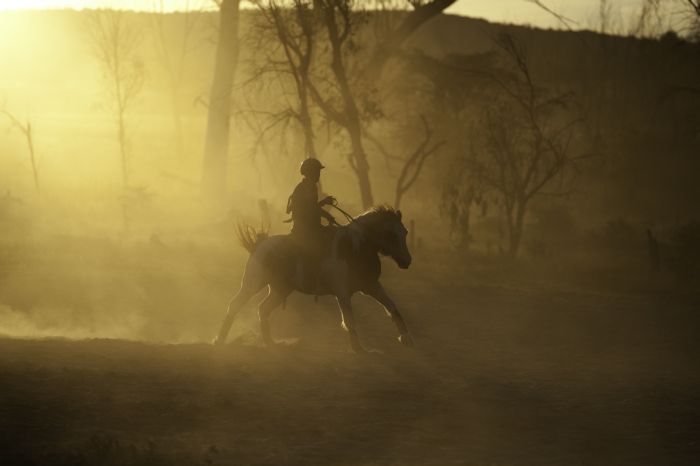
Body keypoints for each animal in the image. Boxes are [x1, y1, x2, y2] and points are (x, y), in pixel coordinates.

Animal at [211, 205, 412, 354]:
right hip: (253, 283)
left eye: (405, 232)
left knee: (263, 309)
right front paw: (359, 349)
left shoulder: (371, 286)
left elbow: (392, 307)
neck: (354, 248)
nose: (406, 262)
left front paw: (405, 338)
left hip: (280, 290)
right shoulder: (342, 292)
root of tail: (259, 244)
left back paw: (271, 343)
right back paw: (219, 341)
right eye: (391, 234)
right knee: (235, 305)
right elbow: (349, 320)